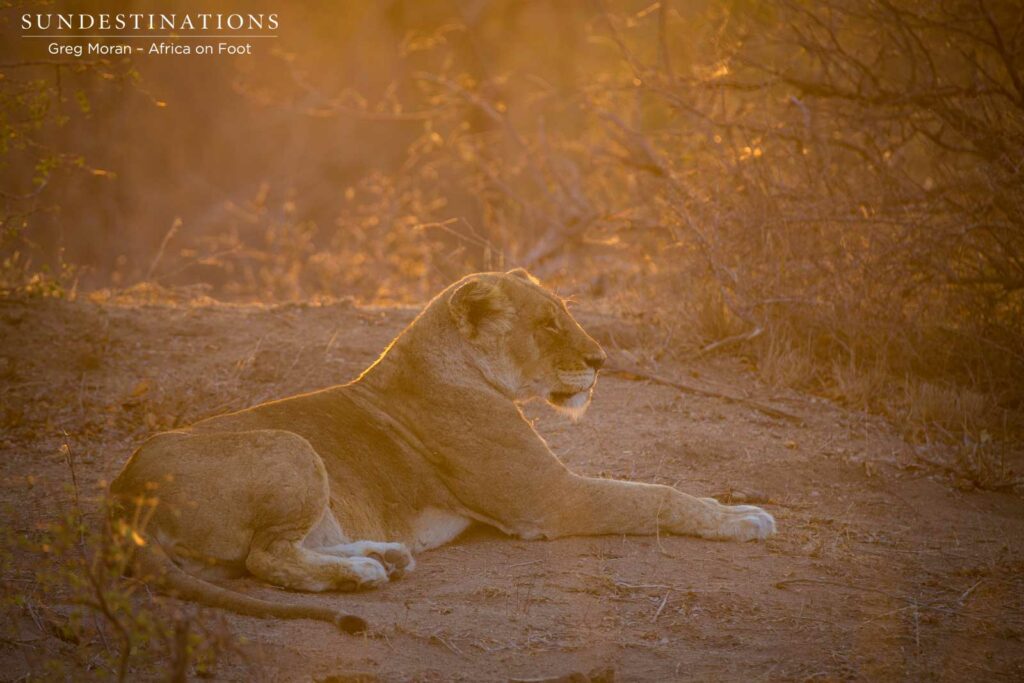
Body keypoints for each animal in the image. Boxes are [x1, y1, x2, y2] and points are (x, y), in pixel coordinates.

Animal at [110, 269, 775, 633]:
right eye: (547, 324)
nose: (601, 360)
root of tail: (119, 491)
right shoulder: (550, 501)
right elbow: (656, 496)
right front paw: (744, 517)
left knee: (274, 552)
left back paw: (386, 553)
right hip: (291, 445)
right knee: (265, 558)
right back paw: (363, 572)